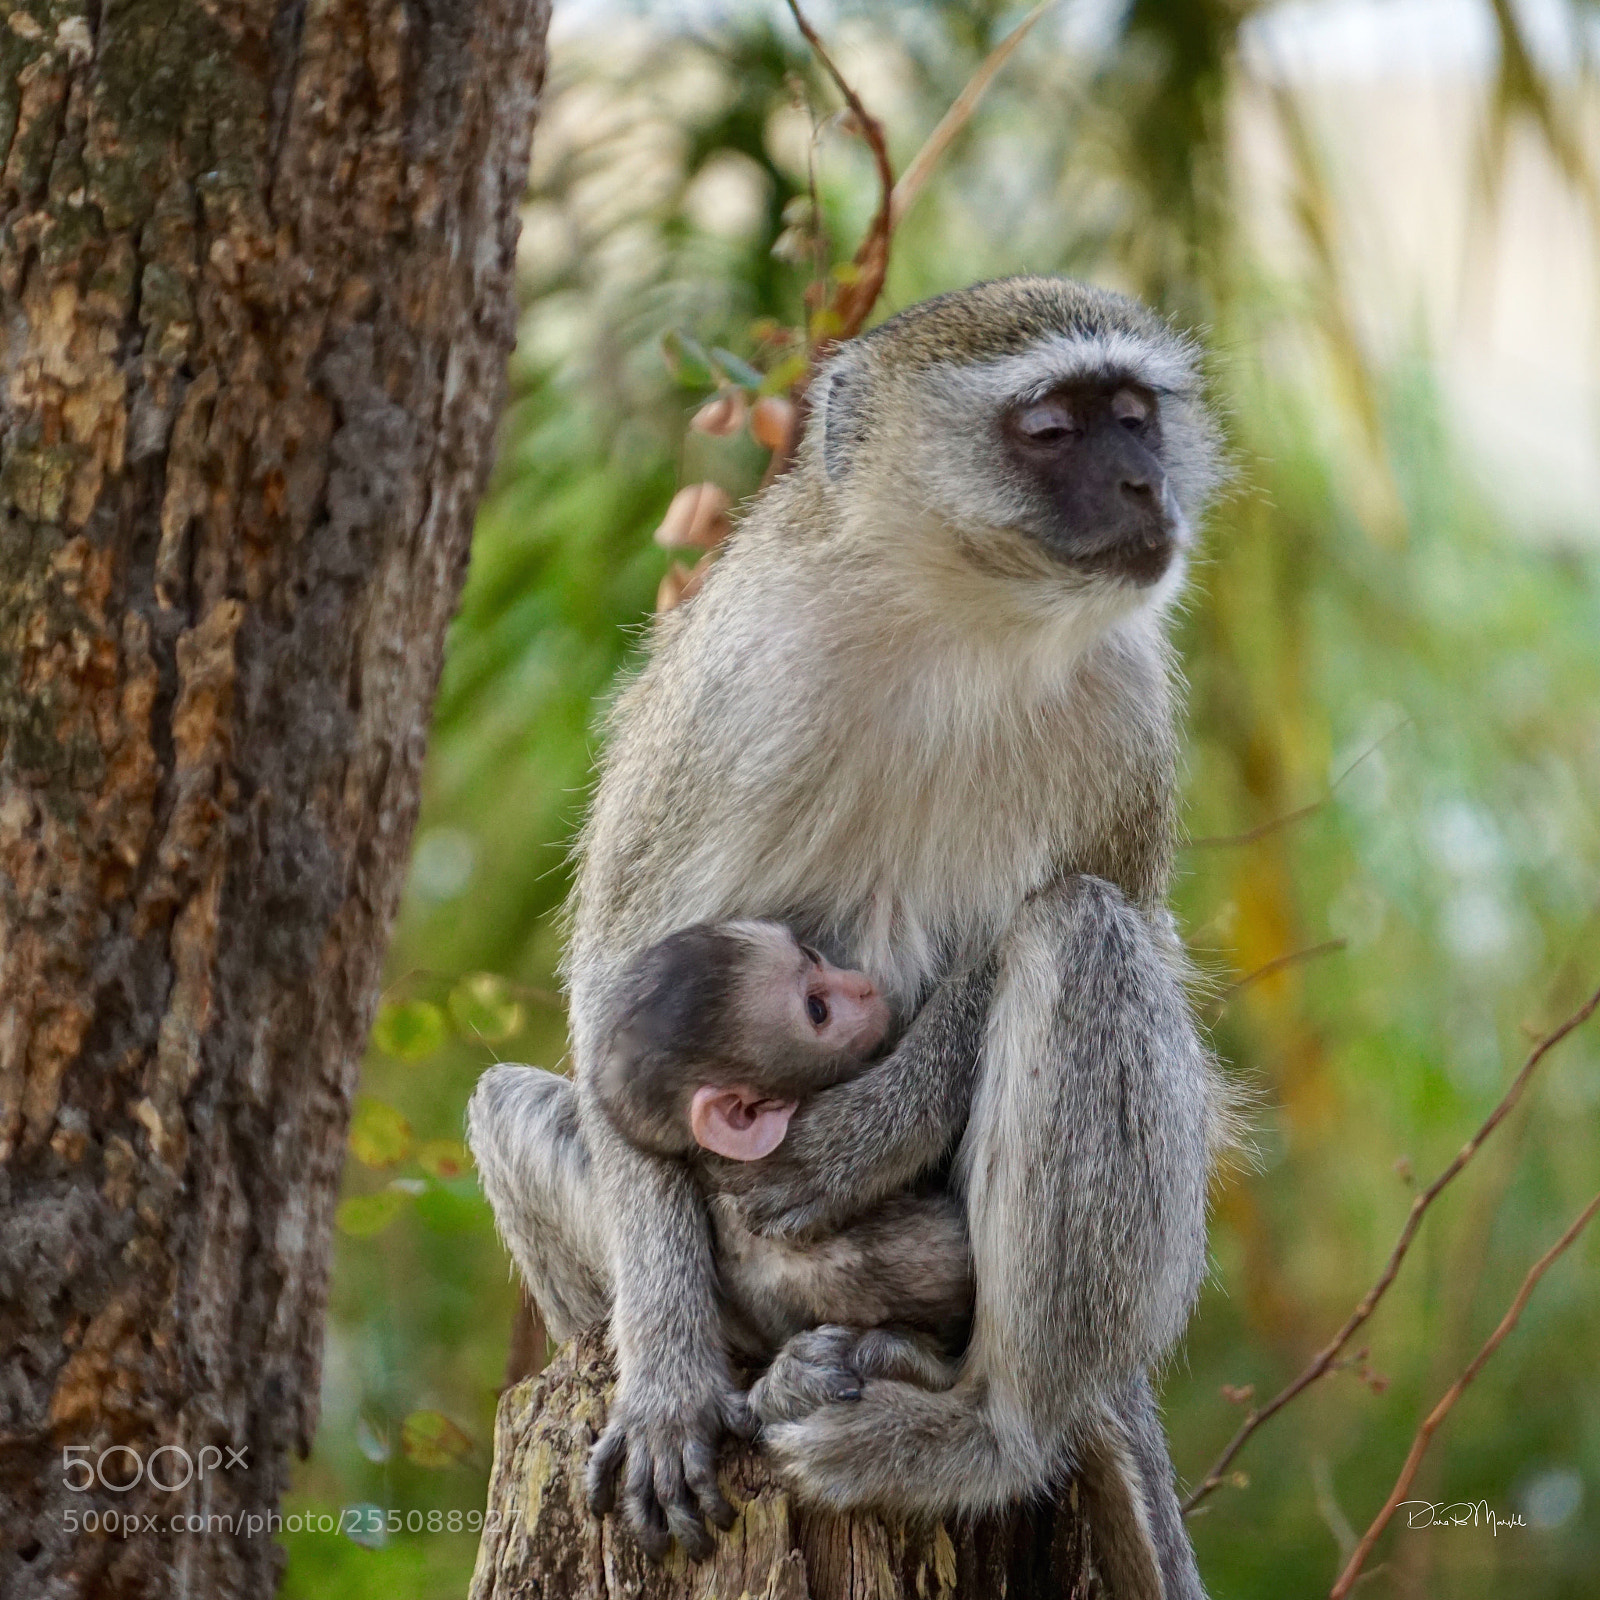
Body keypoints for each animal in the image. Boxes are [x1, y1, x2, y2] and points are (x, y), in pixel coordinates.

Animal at [468, 276, 1226, 1600]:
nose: (1147, 485)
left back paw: (987, 1427)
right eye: (1052, 429)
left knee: (1085, 932)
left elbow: (1097, 918)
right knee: (512, 1105)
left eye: (1134, 414)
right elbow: (613, 983)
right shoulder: (736, 688)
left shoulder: (1130, 707)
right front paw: (667, 1378)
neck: (961, 616)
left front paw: (858, 1136)